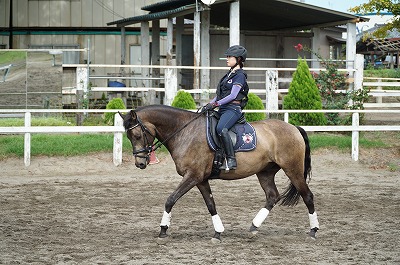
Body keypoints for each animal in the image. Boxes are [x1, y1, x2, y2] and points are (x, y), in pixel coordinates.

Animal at [119, 103, 318, 241]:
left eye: (137, 135)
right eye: (128, 136)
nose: (140, 163)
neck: (185, 132)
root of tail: (293, 128)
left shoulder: (193, 176)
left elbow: (170, 200)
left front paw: (163, 229)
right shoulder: (200, 179)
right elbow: (211, 205)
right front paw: (218, 232)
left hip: (293, 170)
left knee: (307, 195)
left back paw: (313, 231)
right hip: (265, 173)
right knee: (272, 196)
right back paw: (254, 227)